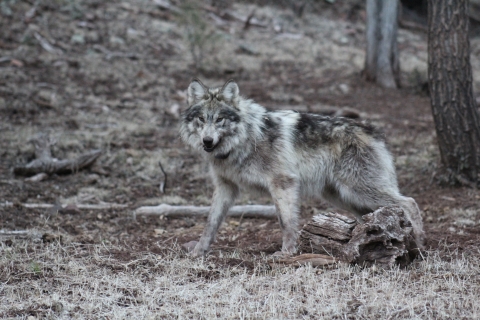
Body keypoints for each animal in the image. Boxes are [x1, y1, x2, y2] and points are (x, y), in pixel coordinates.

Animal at [180, 79, 424, 258]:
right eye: (201, 119)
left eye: (220, 119)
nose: (207, 141)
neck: (246, 138)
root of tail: (373, 130)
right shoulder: (226, 187)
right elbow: (210, 223)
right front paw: (199, 252)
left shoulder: (283, 183)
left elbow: (286, 222)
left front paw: (286, 253)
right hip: (344, 197)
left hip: (359, 191)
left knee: (409, 202)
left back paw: (419, 245)